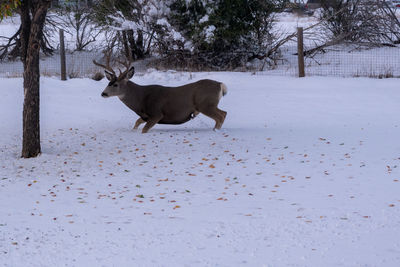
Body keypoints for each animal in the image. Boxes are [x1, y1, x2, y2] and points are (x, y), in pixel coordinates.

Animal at [92, 59, 227, 133]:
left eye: (115, 84)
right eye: (108, 83)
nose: (103, 93)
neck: (141, 99)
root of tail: (220, 84)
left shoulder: (156, 113)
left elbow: (144, 130)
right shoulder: (145, 116)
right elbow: (136, 123)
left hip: (205, 104)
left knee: (221, 115)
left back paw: (215, 131)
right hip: (208, 105)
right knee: (223, 113)